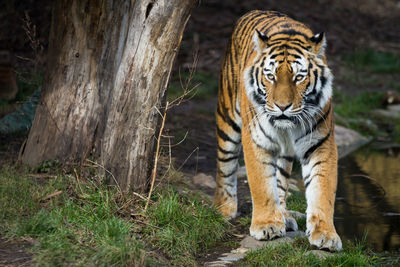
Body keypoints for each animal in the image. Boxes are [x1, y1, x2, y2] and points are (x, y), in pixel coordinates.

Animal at [214, 10, 342, 252]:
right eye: (271, 76)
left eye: (299, 77)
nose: (283, 106)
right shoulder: (256, 140)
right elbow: (262, 184)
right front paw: (266, 226)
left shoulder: (321, 145)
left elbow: (322, 190)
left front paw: (326, 234)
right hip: (228, 118)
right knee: (225, 165)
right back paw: (224, 209)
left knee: (281, 181)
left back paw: (283, 215)